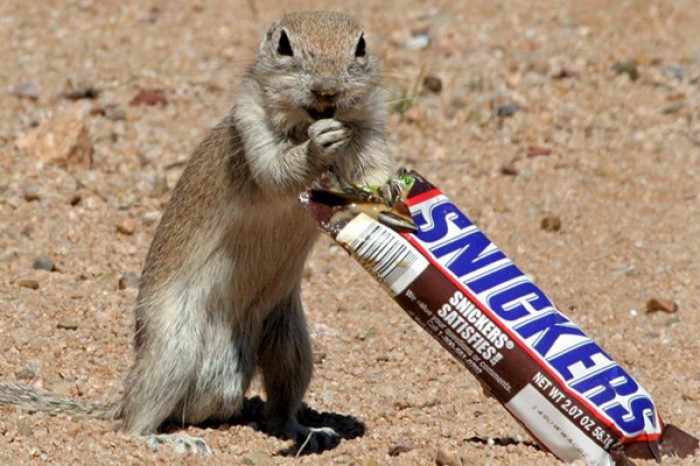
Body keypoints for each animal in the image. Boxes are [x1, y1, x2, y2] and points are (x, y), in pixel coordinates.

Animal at [0, 10, 394, 456]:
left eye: (360, 46)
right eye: (284, 46)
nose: (327, 89)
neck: (303, 122)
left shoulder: (370, 130)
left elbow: (371, 169)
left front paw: (392, 193)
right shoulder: (251, 129)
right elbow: (276, 171)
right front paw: (317, 146)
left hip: (291, 343)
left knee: (280, 407)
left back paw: (306, 430)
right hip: (173, 350)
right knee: (131, 422)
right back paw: (169, 440)